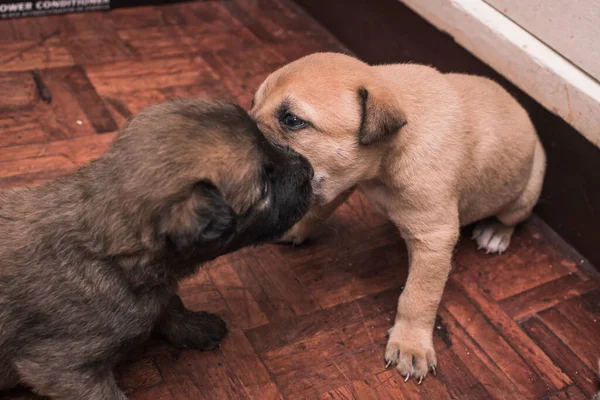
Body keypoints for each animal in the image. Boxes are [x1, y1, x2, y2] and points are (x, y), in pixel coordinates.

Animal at [251, 52, 548, 382]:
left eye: (292, 120)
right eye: (254, 103)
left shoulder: (434, 239)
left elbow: (418, 296)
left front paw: (411, 345)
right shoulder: (342, 181)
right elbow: (317, 209)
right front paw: (292, 226)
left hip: (524, 193)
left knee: (512, 216)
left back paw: (495, 233)